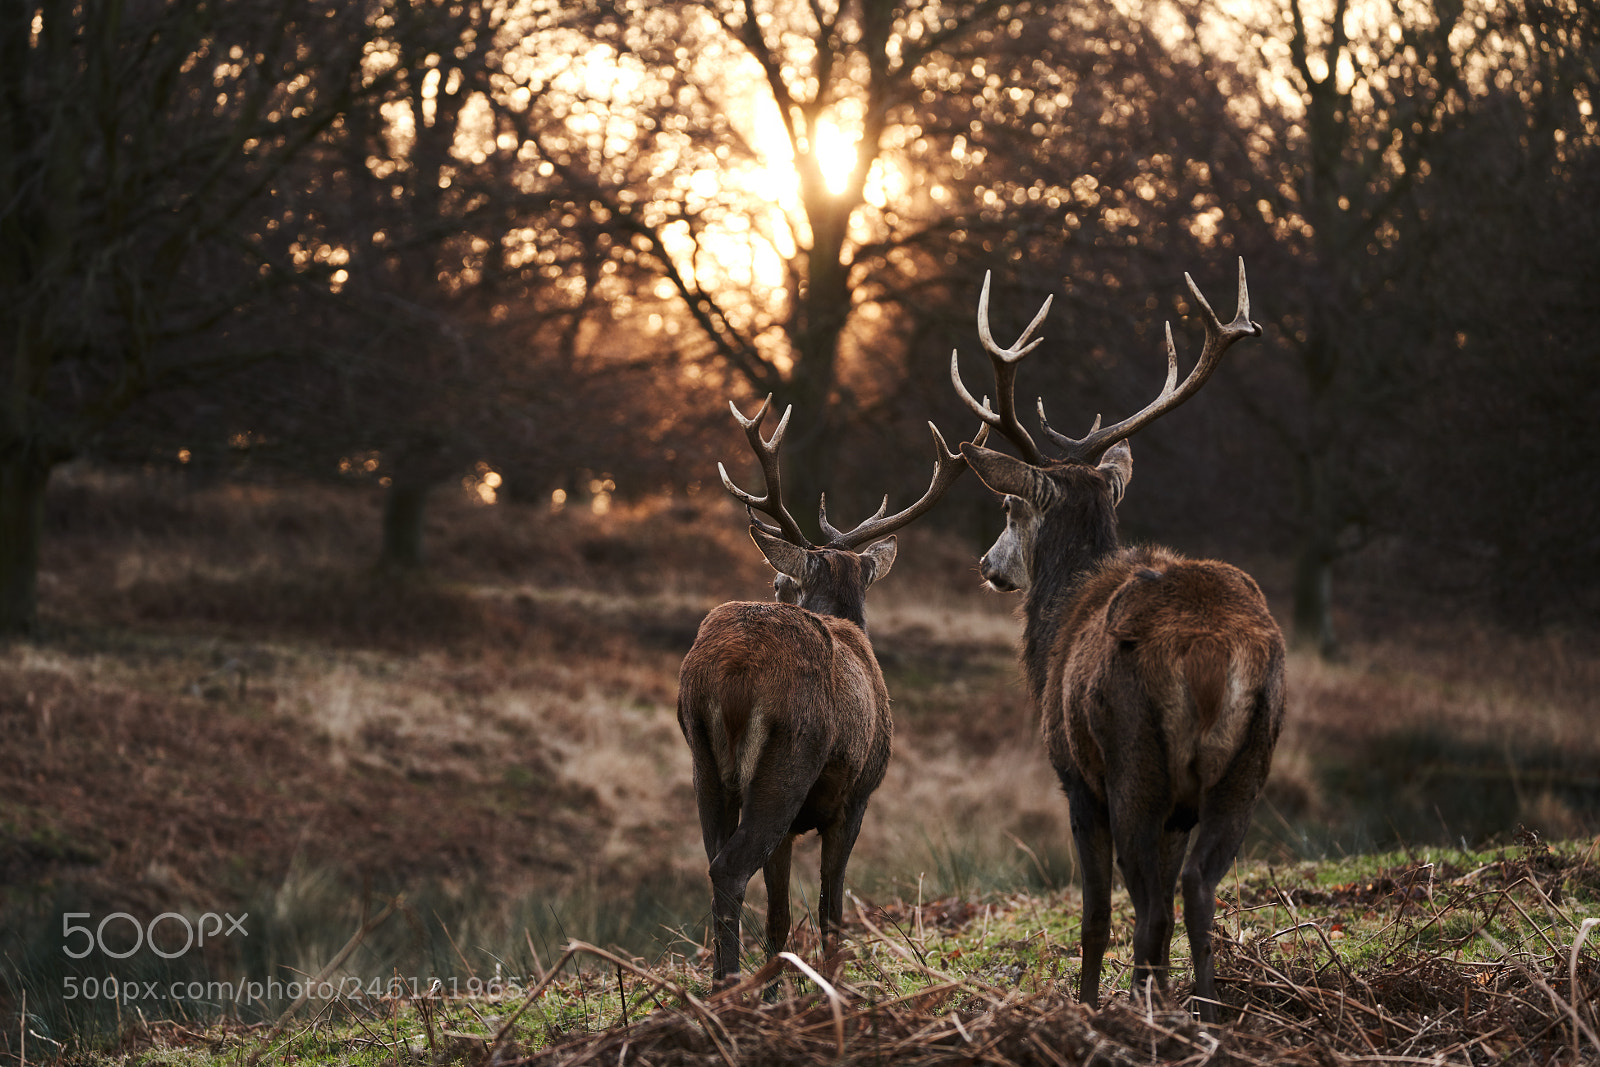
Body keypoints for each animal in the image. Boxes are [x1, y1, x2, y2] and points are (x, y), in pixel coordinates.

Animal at [678, 396, 985, 985]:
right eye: (782, 582)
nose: (778, 585)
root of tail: (731, 671)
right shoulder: (856, 797)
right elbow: (832, 910)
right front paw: (834, 984)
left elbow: (780, 917)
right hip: (788, 759)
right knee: (730, 869)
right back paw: (729, 985)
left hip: (704, 761)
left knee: (713, 860)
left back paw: (723, 985)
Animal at [950, 259, 1285, 1023]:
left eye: (1009, 506)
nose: (988, 566)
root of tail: (1212, 655)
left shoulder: (1075, 778)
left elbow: (1096, 916)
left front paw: (1086, 1001)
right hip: (1248, 762)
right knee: (1197, 889)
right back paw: (1206, 1012)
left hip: (1134, 759)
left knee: (1152, 906)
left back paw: (1148, 1010)